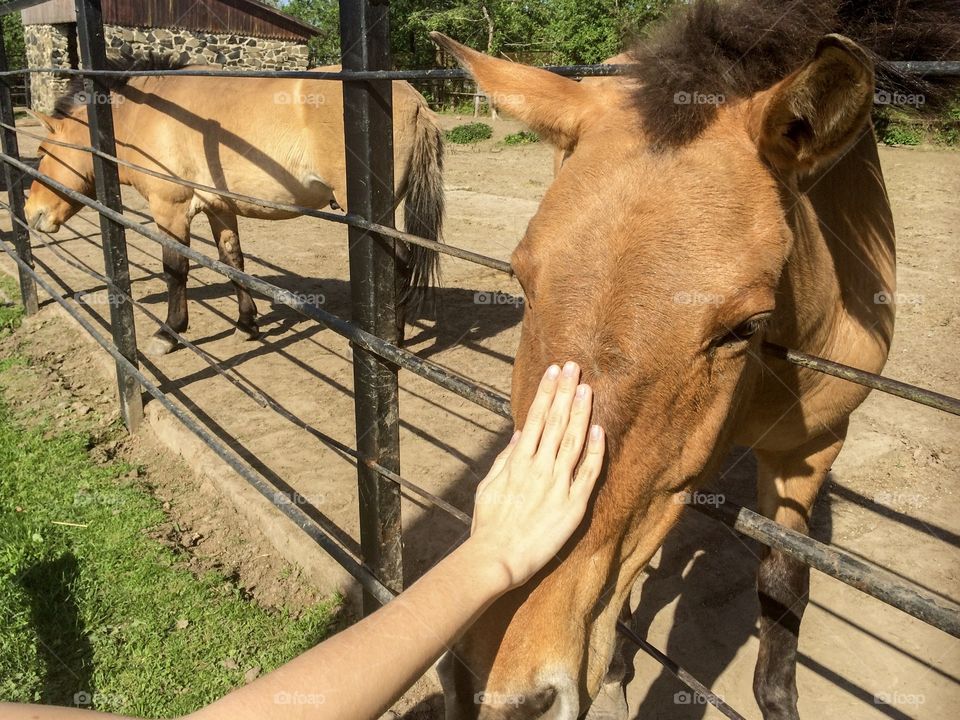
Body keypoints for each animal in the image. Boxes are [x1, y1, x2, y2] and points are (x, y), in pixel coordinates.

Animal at [23, 61, 445, 356]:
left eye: (43, 149)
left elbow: (175, 270)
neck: (148, 114)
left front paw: (168, 332)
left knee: (401, 261)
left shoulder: (170, 210)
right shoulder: (218, 208)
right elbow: (233, 262)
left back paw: (393, 340)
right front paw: (246, 324)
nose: (30, 213)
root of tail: (414, 99)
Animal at [430, 0, 957, 717]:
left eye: (745, 326)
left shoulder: (811, 448)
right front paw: (617, 669)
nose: (491, 681)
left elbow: (783, 583)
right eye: (520, 279)